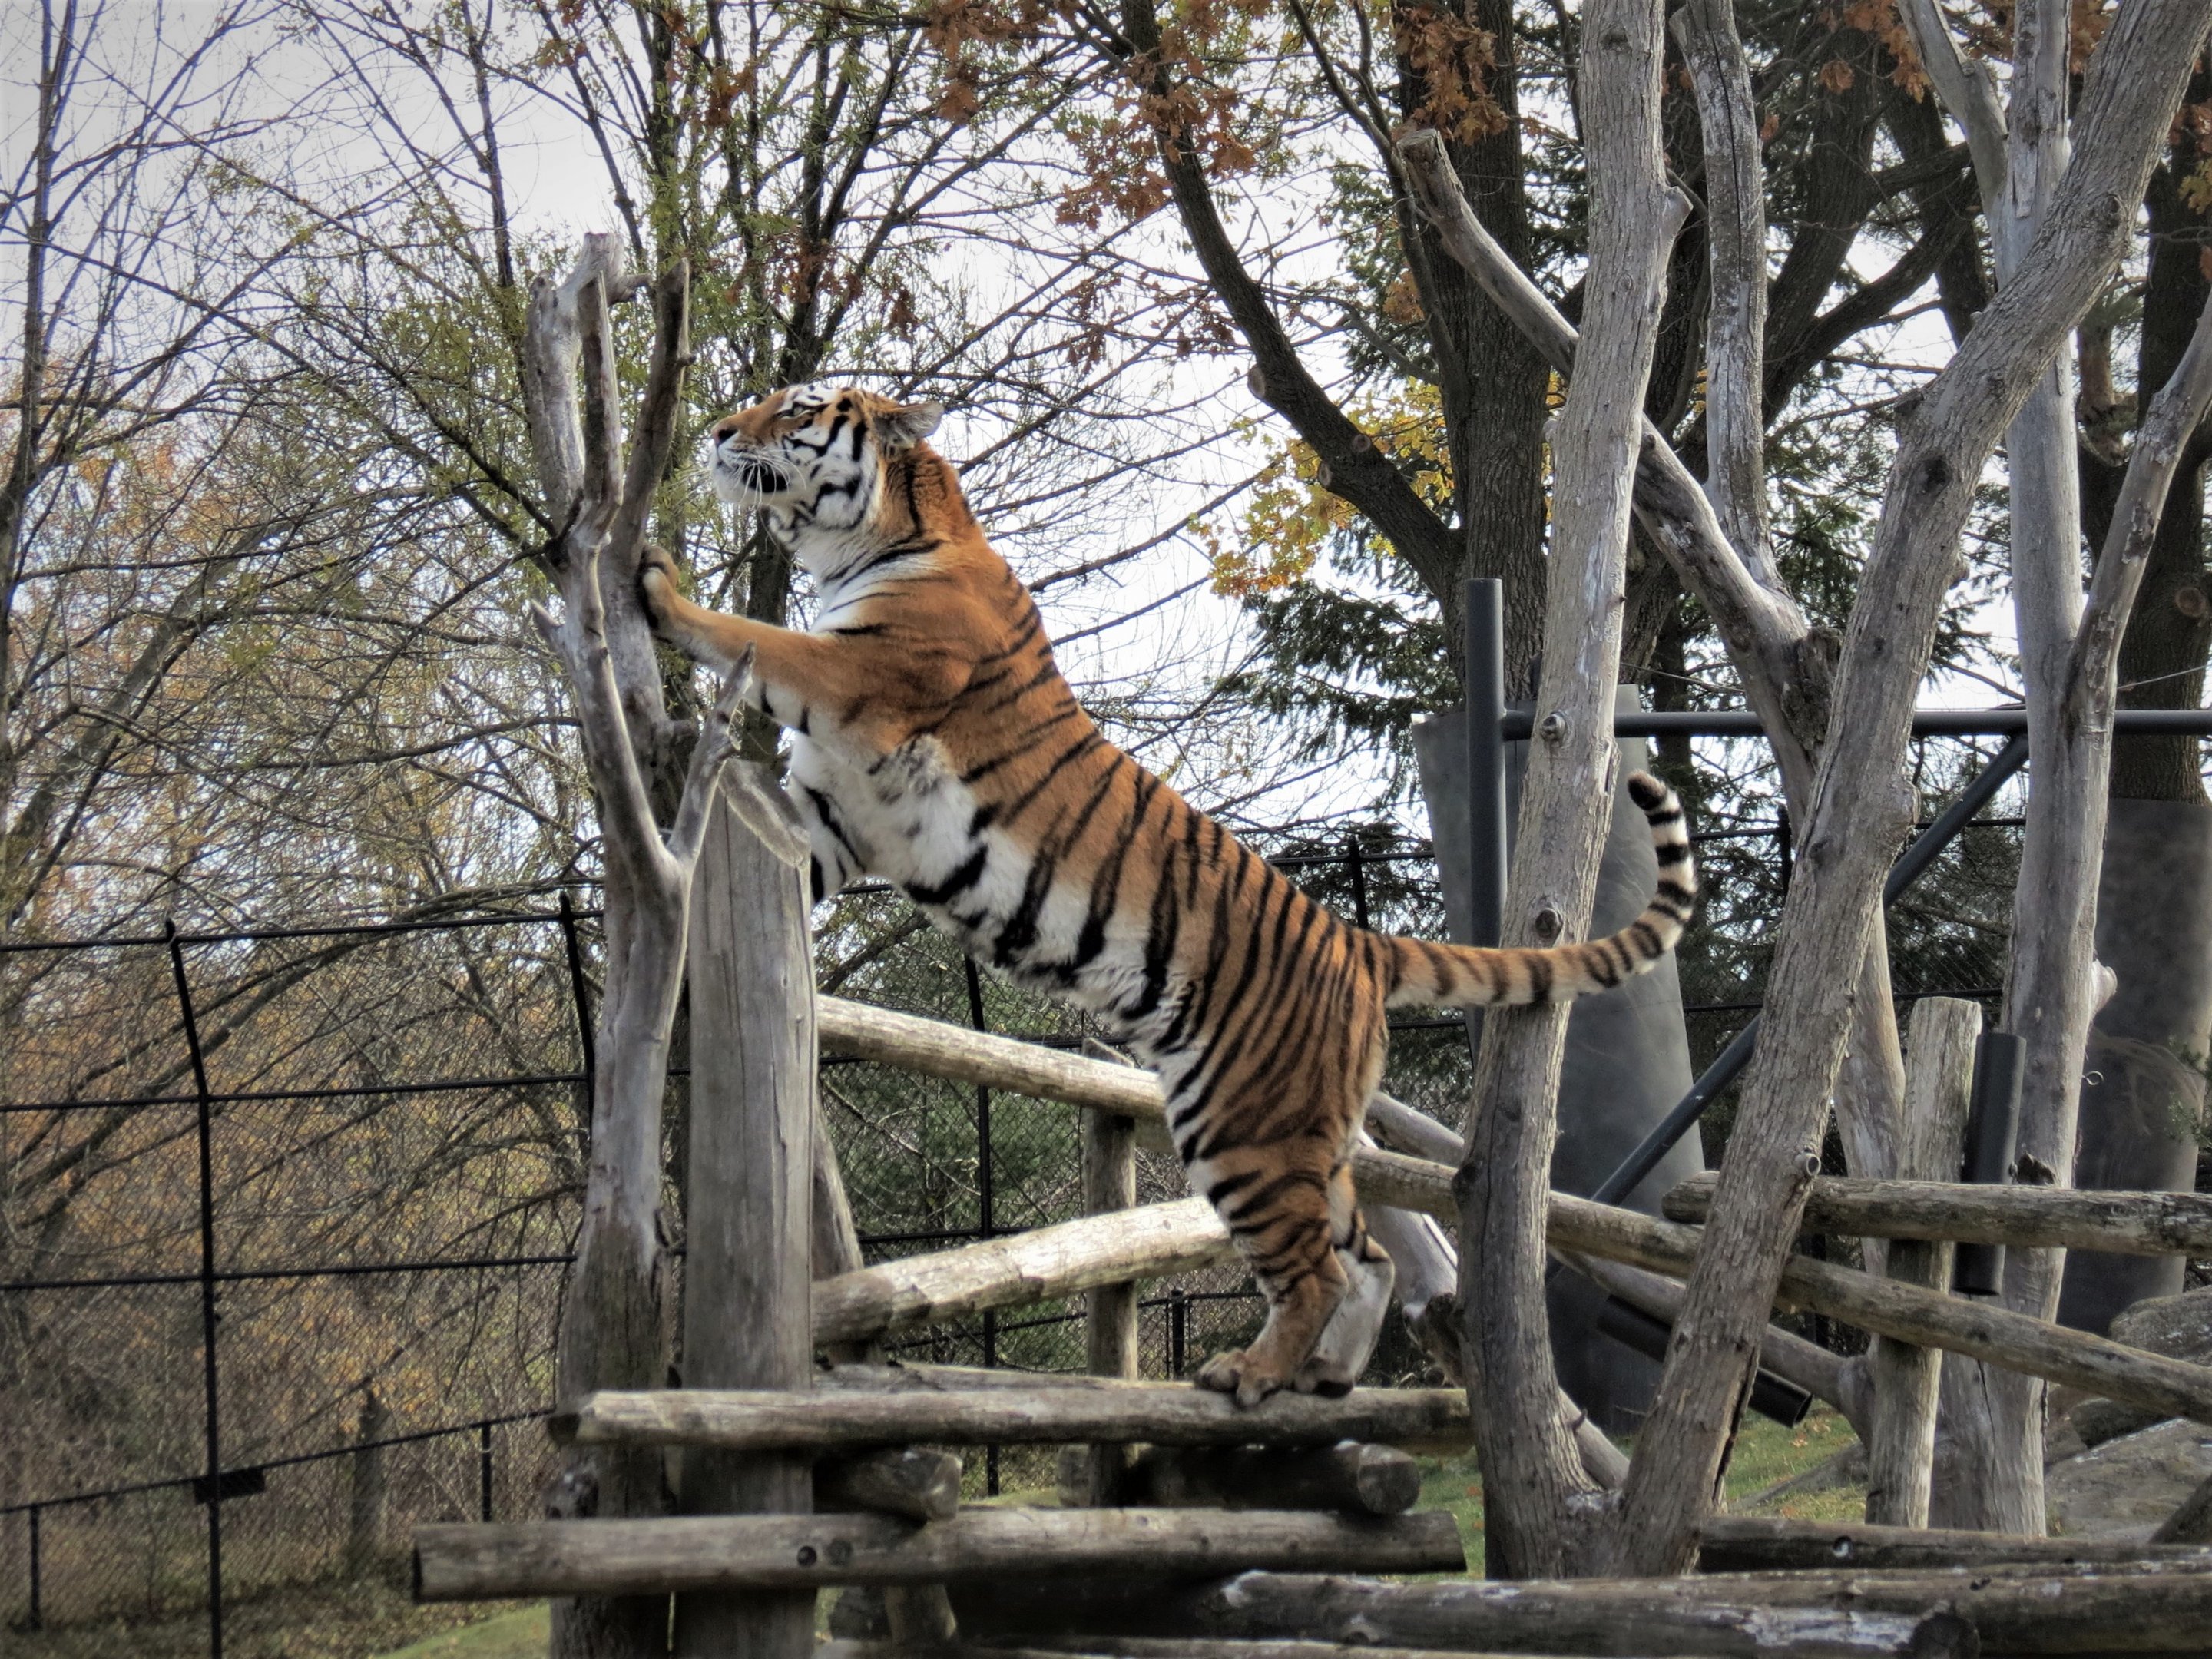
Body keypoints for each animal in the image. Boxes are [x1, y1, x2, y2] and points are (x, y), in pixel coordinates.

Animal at [640, 382, 1698, 1406]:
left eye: (797, 406)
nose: (721, 429)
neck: (865, 542)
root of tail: (1358, 941)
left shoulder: (862, 671)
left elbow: (752, 637)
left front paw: (656, 585)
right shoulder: (833, 816)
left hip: (1243, 1124)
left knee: (1317, 1268)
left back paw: (1253, 1376)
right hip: (1307, 1130)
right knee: (1369, 1258)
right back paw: (1321, 1379)